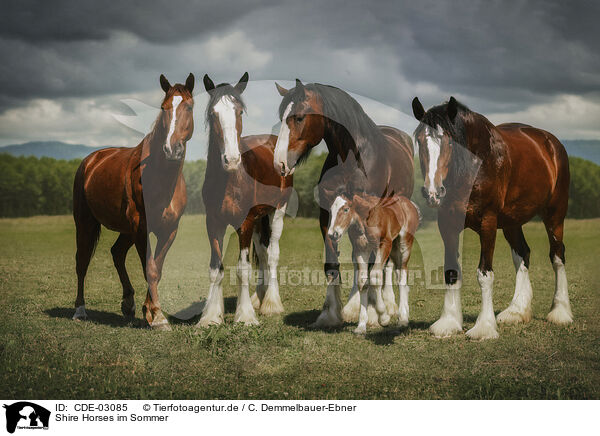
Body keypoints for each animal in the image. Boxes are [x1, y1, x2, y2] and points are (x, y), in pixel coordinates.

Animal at [72, 72, 195, 330]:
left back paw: (128, 303)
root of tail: (91, 160)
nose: (172, 149)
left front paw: (151, 312)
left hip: (126, 230)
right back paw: (80, 310)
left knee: (117, 252)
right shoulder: (142, 228)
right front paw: (157, 315)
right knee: (82, 261)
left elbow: (157, 268)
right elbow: (149, 268)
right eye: (163, 107)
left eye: (188, 107)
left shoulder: (169, 230)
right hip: (85, 223)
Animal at [198, 73, 294, 326]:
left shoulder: (245, 222)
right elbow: (216, 268)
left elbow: (243, 269)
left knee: (272, 254)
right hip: (260, 219)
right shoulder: (213, 223)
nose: (231, 159)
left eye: (239, 111)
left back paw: (271, 303)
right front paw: (211, 316)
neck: (230, 180)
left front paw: (245, 316)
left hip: (276, 211)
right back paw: (259, 299)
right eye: (213, 113)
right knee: (262, 252)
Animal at [274, 79, 414, 328]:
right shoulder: (327, 216)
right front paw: (330, 313)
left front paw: (373, 313)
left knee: (386, 264)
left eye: (299, 117)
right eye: (281, 116)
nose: (279, 162)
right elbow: (333, 264)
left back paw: (388, 305)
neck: (352, 159)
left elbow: (372, 266)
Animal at [326, 192, 420, 334]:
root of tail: (410, 204)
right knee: (398, 272)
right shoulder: (361, 250)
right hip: (394, 247)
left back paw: (403, 319)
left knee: (402, 275)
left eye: (346, 209)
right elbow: (362, 281)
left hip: (404, 244)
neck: (365, 219)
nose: (332, 234)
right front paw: (361, 325)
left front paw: (384, 317)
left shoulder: (384, 245)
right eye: (331, 210)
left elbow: (375, 277)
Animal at [412, 96, 572, 340]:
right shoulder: (448, 224)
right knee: (523, 254)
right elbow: (451, 271)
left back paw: (560, 312)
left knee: (557, 255)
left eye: (450, 142)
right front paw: (448, 322)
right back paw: (516, 311)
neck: (476, 165)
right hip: (512, 221)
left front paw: (484, 327)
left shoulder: (487, 222)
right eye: (420, 141)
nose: (433, 192)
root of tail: (551, 143)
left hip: (555, 213)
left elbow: (484, 273)